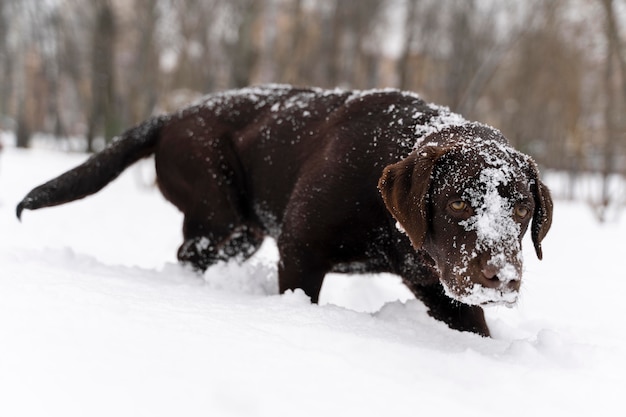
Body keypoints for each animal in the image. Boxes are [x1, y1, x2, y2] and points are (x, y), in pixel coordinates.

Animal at [17, 84, 548, 334]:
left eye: (522, 208)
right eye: (458, 201)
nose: (502, 278)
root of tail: (172, 116)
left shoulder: (437, 285)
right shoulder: (300, 250)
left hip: (243, 233)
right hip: (220, 211)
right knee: (189, 252)